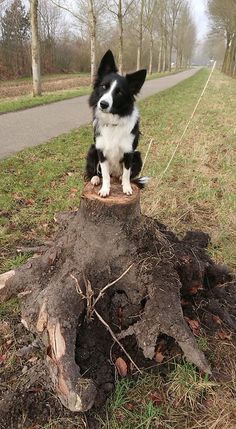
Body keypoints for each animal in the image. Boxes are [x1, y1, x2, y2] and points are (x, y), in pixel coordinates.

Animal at [85, 50, 148, 197]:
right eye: (104, 86)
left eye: (119, 92)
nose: (103, 104)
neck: (112, 121)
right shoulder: (100, 150)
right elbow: (105, 175)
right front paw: (105, 189)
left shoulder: (129, 152)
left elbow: (126, 173)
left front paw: (127, 187)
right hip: (92, 149)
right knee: (97, 172)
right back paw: (95, 178)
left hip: (138, 156)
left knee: (124, 174)